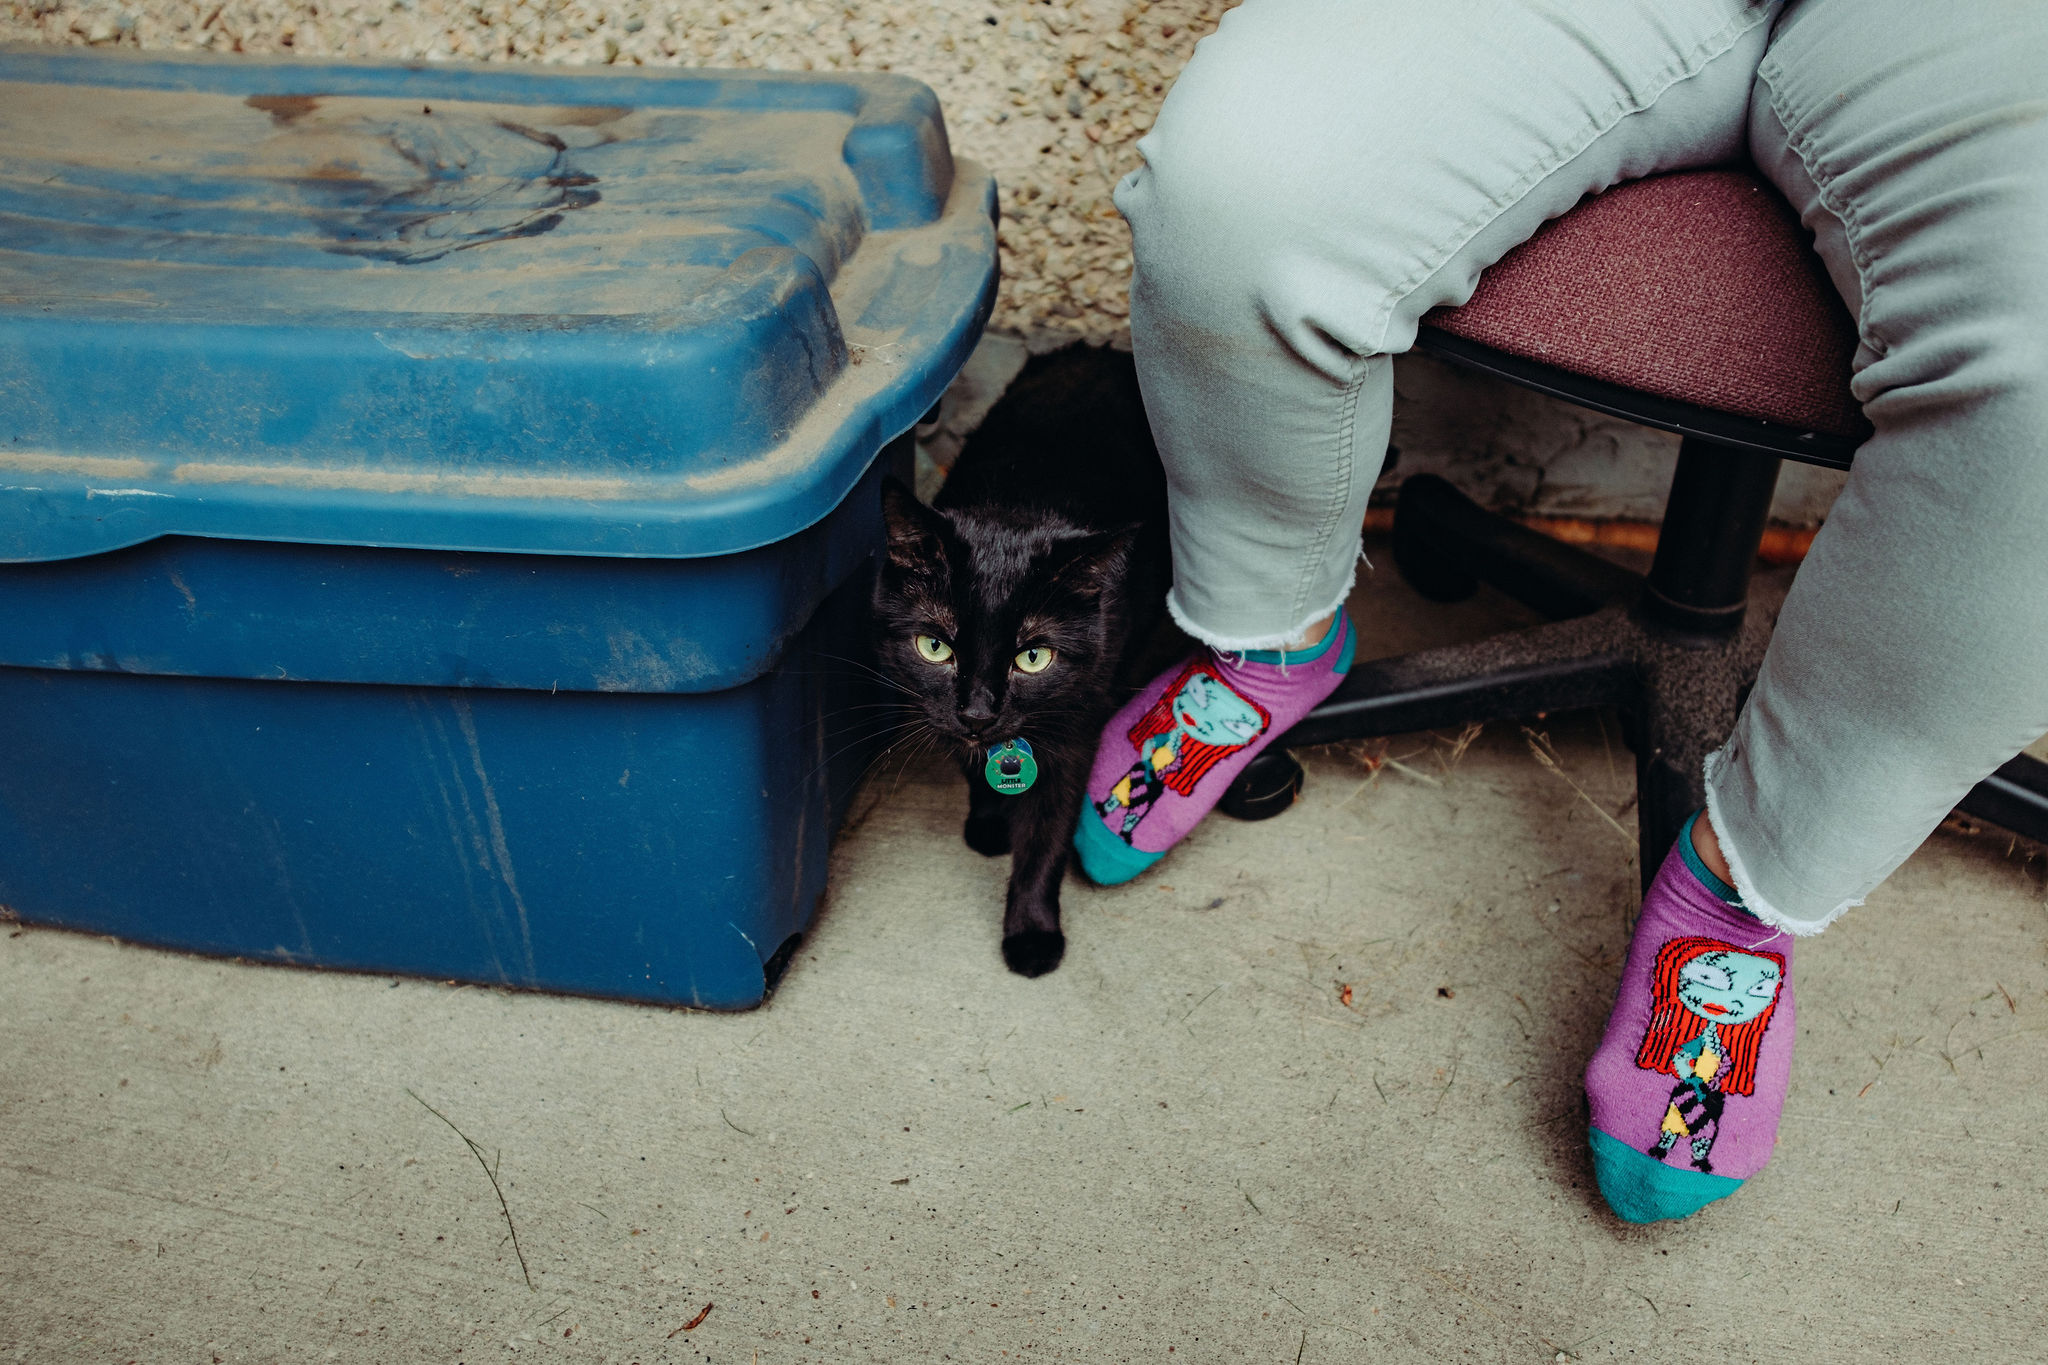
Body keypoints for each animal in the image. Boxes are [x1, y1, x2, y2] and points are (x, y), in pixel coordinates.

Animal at [876, 347, 1179, 978]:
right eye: (935, 648)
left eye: (1033, 657)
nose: (978, 712)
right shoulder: (943, 711)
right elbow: (976, 764)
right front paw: (991, 819)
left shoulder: (1074, 727)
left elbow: (1048, 833)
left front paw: (1033, 934)